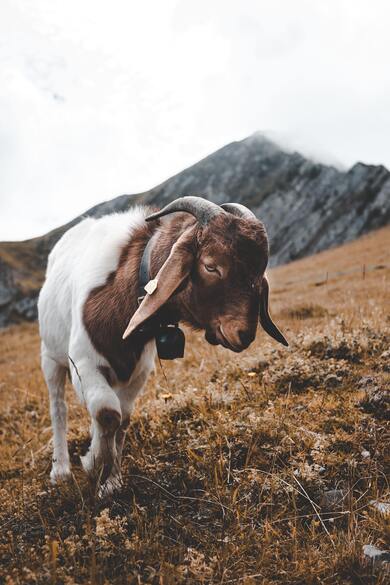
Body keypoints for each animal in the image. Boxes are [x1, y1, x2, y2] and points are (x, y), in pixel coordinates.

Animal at [38, 196, 286, 492]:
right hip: (51, 359)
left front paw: (112, 481)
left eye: (260, 270)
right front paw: (93, 464)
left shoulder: (138, 371)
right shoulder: (83, 363)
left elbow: (123, 419)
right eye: (211, 266)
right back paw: (60, 470)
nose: (243, 334)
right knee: (58, 408)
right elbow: (108, 413)